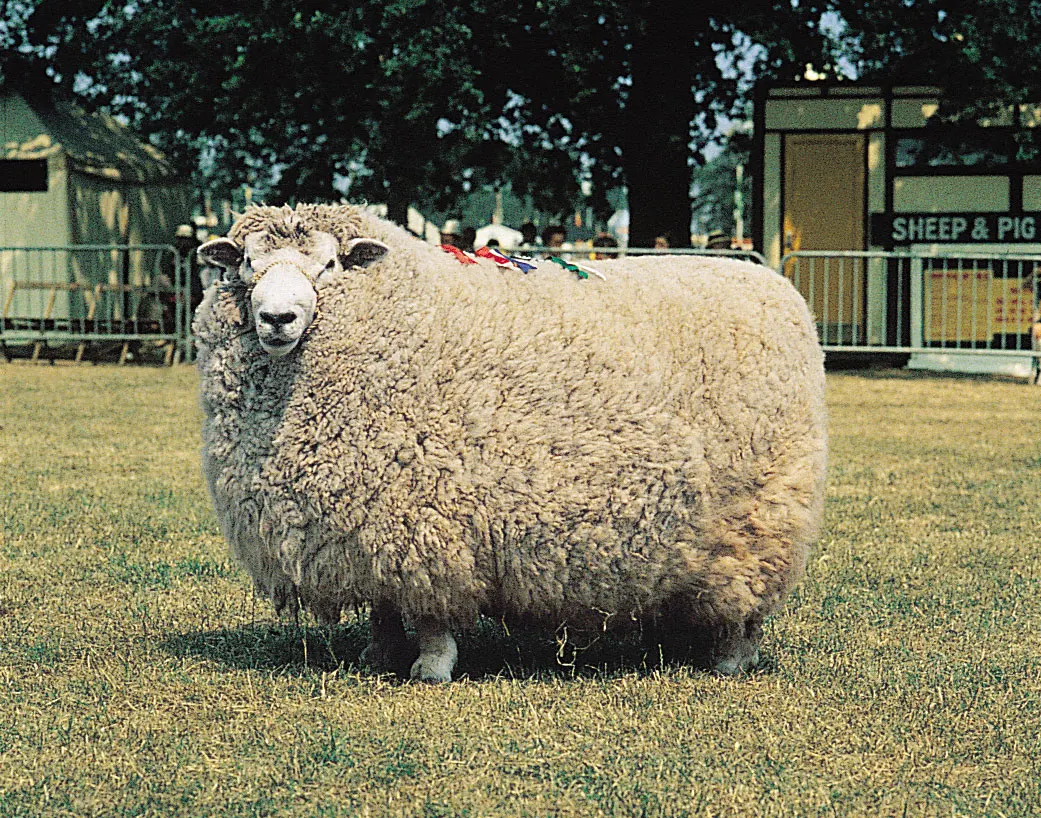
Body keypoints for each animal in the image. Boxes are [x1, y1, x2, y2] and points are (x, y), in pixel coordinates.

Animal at [194, 203, 827, 682]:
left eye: (329, 264)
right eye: (247, 262)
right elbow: (383, 604)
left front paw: (432, 666)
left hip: (760, 511)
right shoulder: (368, 525)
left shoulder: (425, 517)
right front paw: (379, 654)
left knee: (749, 600)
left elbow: (431, 611)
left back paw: (731, 660)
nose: (277, 318)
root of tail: (777, 286)